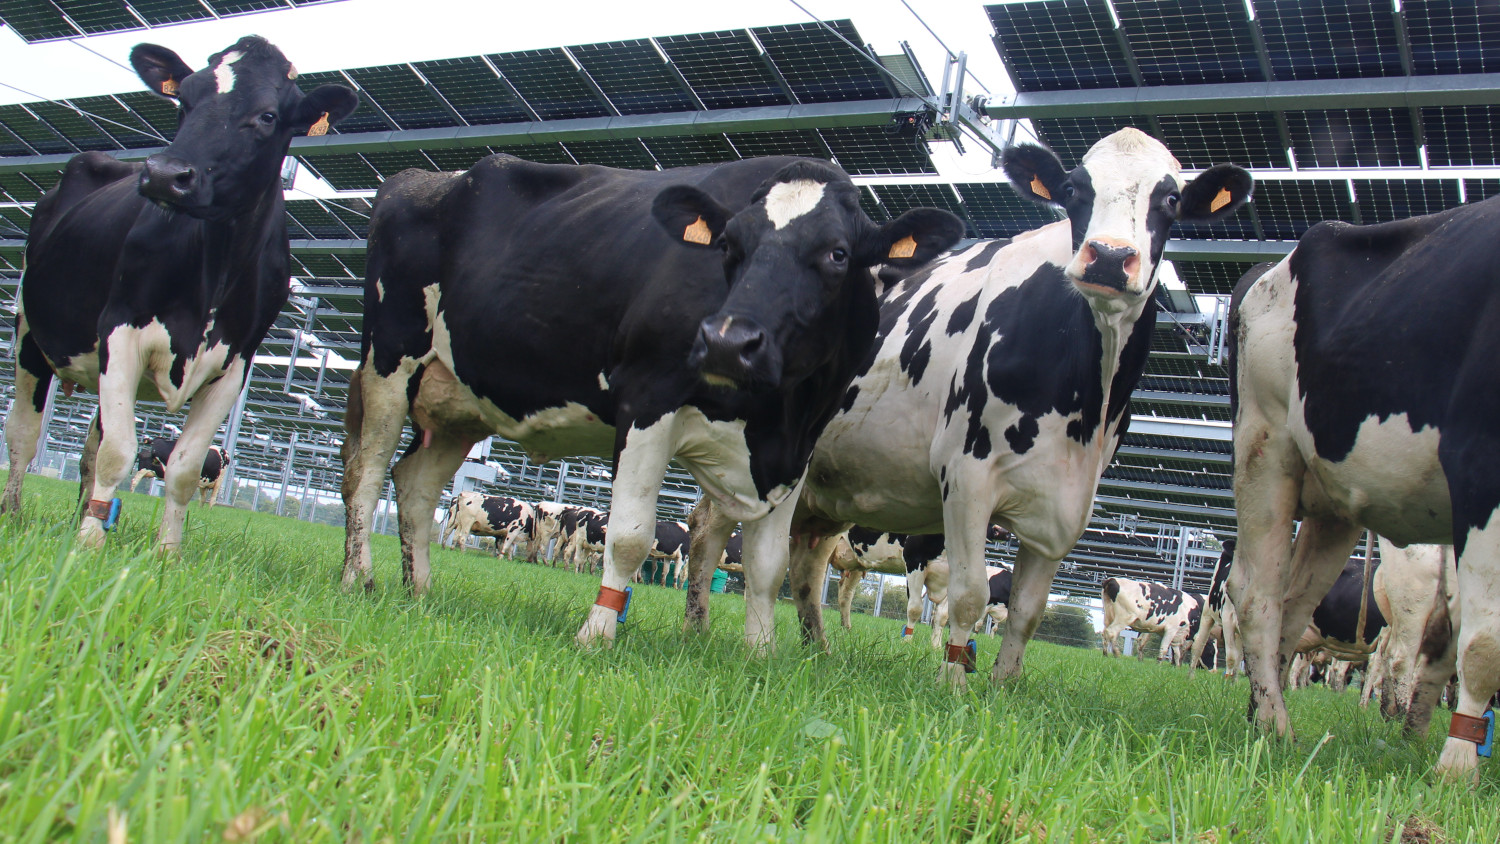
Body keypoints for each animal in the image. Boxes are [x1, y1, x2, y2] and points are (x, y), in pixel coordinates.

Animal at [0, 36, 357, 551]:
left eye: (268, 116)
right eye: (184, 100)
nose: (165, 174)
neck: (217, 267)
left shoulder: (234, 365)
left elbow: (183, 469)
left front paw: (166, 551)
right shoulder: (120, 330)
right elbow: (119, 452)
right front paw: (89, 545)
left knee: (88, 450)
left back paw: (79, 516)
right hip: (29, 332)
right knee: (24, 435)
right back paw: (15, 512)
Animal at [339, 149, 960, 647]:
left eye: (837, 253)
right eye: (728, 244)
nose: (727, 342)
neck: (773, 414)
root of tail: (423, 178)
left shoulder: (796, 451)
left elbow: (767, 566)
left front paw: (760, 655)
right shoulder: (646, 401)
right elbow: (630, 537)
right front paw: (597, 633)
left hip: (457, 403)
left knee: (415, 484)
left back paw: (418, 589)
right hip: (388, 361)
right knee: (366, 472)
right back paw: (357, 577)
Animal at [1224, 191, 1500, 779]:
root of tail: (1269, 268)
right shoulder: (1481, 466)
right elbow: (1483, 646)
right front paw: (1456, 772)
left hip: (1335, 504)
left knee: (1294, 606)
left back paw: (1265, 711)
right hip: (1265, 448)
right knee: (1257, 594)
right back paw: (1275, 725)